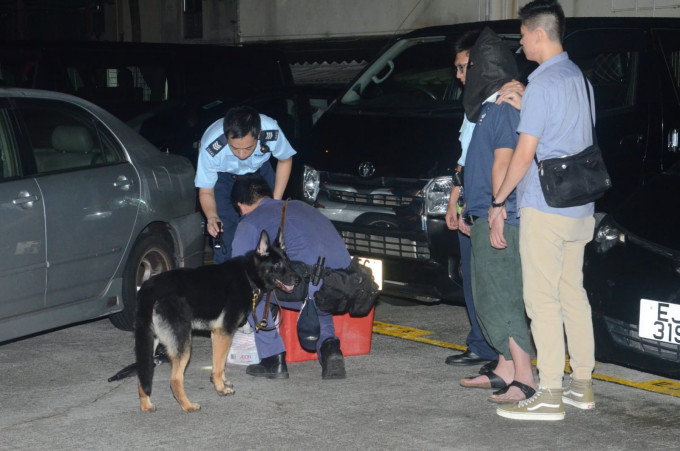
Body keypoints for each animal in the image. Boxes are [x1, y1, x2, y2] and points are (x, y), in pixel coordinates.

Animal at [134, 231, 298, 412]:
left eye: (288, 261)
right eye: (277, 265)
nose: (299, 279)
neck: (248, 275)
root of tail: (149, 288)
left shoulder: (217, 335)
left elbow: (220, 362)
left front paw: (221, 381)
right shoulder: (225, 332)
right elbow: (219, 366)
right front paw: (220, 388)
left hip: (150, 343)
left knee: (143, 373)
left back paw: (146, 404)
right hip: (183, 344)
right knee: (175, 380)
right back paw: (188, 405)